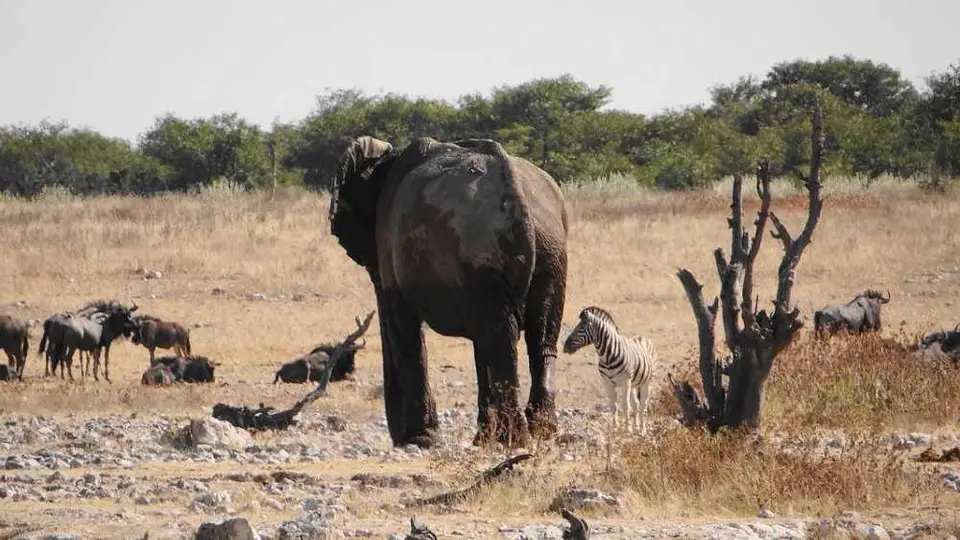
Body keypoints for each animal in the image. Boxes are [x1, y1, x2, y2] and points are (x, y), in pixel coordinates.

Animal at [328, 136, 569, 449]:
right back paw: (538, 433)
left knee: (502, 343)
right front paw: (481, 440)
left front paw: (422, 441)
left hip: (484, 255)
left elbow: (403, 330)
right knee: (535, 338)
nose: (397, 438)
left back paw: (516, 440)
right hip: (549, 252)